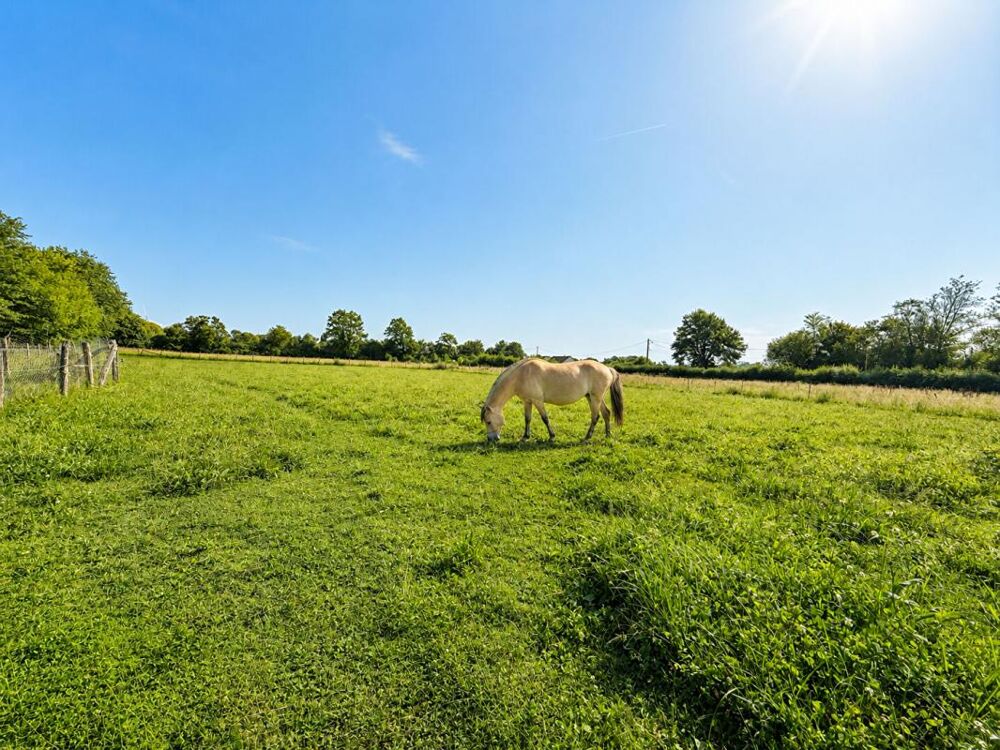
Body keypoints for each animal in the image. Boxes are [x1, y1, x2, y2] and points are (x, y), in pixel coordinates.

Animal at [480, 358, 623, 443]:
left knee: (595, 416)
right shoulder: (527, 401)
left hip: (595, 398)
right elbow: (527, 419)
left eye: (488, 421)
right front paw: (525, 437)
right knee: (606, 413)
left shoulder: (538, 401)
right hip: (593, 397)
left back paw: (587, 437)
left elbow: (545, 418)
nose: (492, 439)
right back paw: (607, 435)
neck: (522, 375)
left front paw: (552, 436)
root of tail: (607, 369)